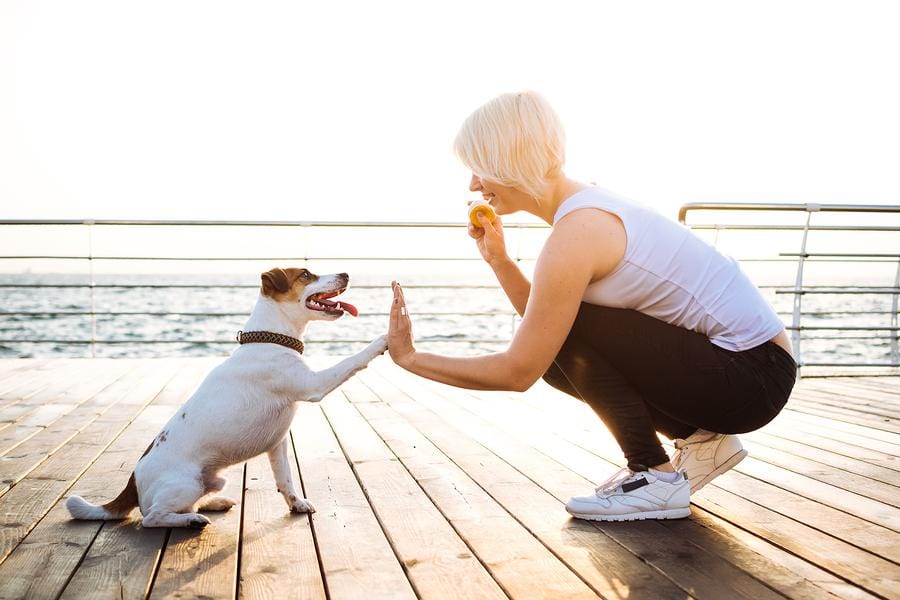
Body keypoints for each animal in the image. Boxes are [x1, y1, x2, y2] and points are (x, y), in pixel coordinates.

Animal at [63, 266, 386, 524]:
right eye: (306, 275)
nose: (346, 273)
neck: (271, 339)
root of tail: (132, 482)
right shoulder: (313, 385)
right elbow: (353, 360)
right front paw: (383, 339)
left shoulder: (278, 443)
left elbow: (286, 479)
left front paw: (297, 504)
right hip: (186, 483)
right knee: (152, 517)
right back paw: (191, 520)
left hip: (215, 479)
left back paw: (215, 503)